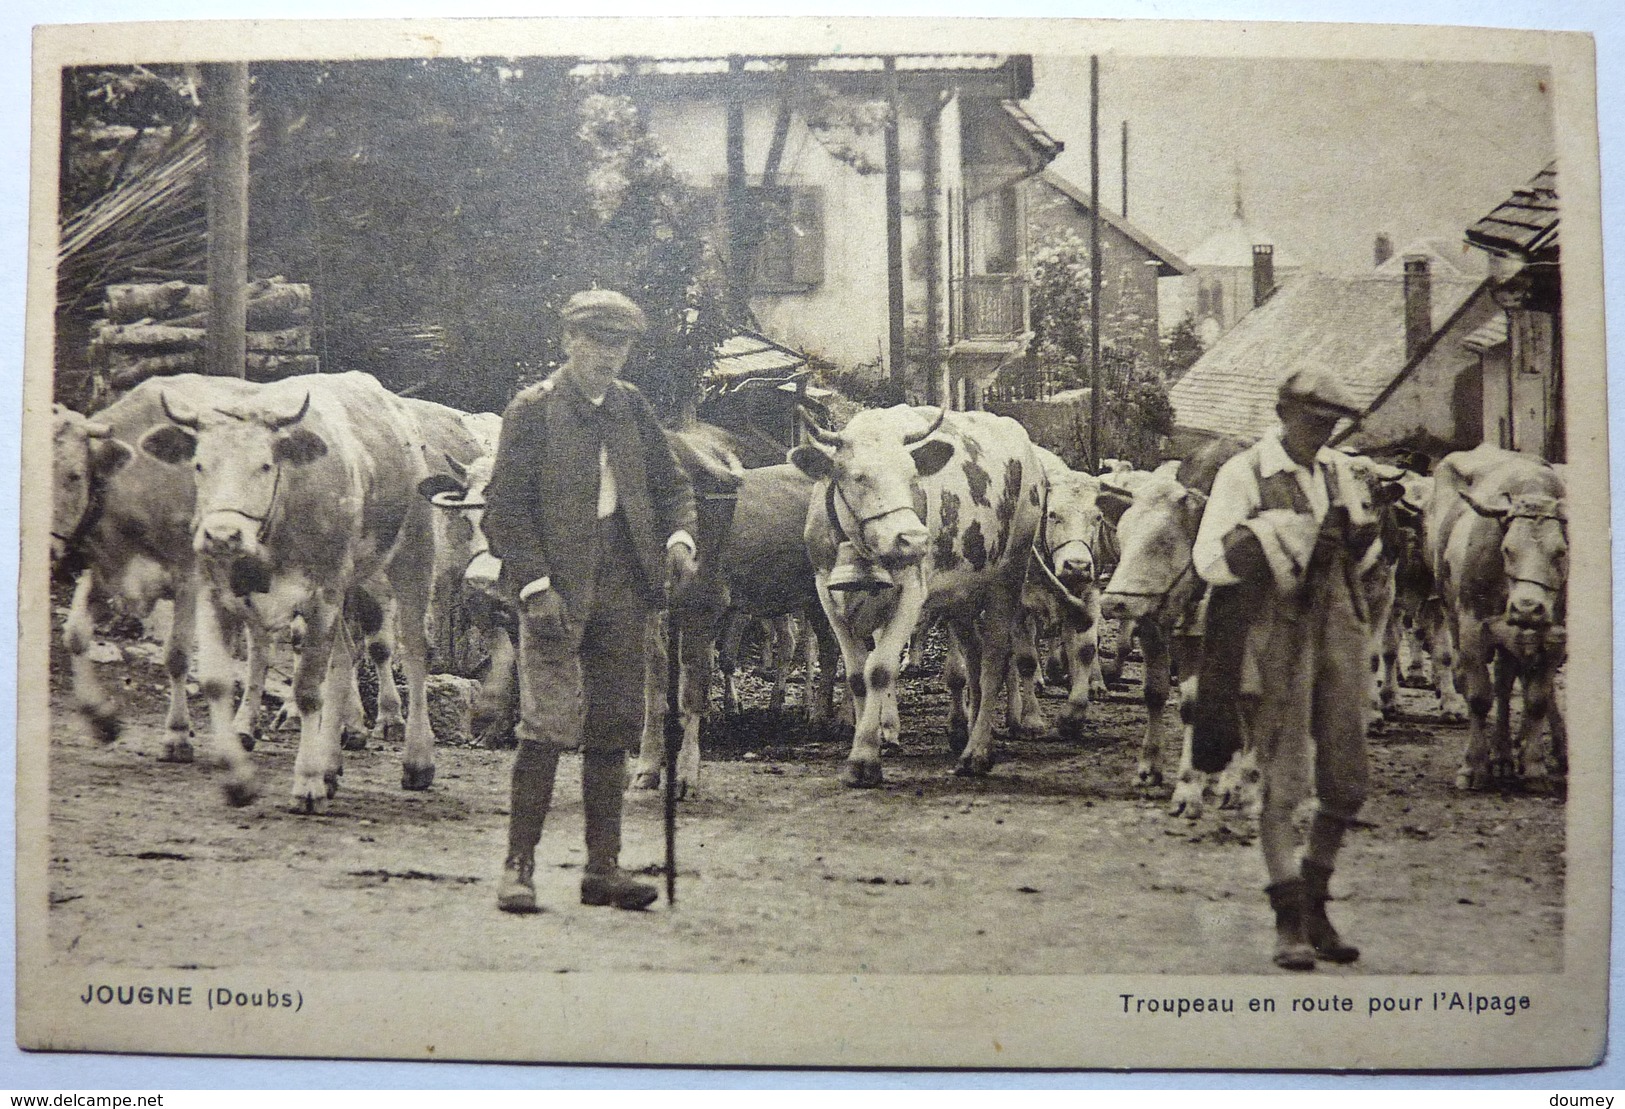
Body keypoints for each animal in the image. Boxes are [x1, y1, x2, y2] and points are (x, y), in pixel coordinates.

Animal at [793, 401, 1046, 780]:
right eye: (858, 477)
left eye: (913, 477)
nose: (913, 539)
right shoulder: (827, 593)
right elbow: (856, 675)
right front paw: (869, 743)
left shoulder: (912, 591)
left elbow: (879, 670)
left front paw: (864, 759)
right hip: (961, 593)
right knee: (973, 655)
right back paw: (965, 733)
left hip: (1011, 571)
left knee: (994, 661)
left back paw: (978, 752)